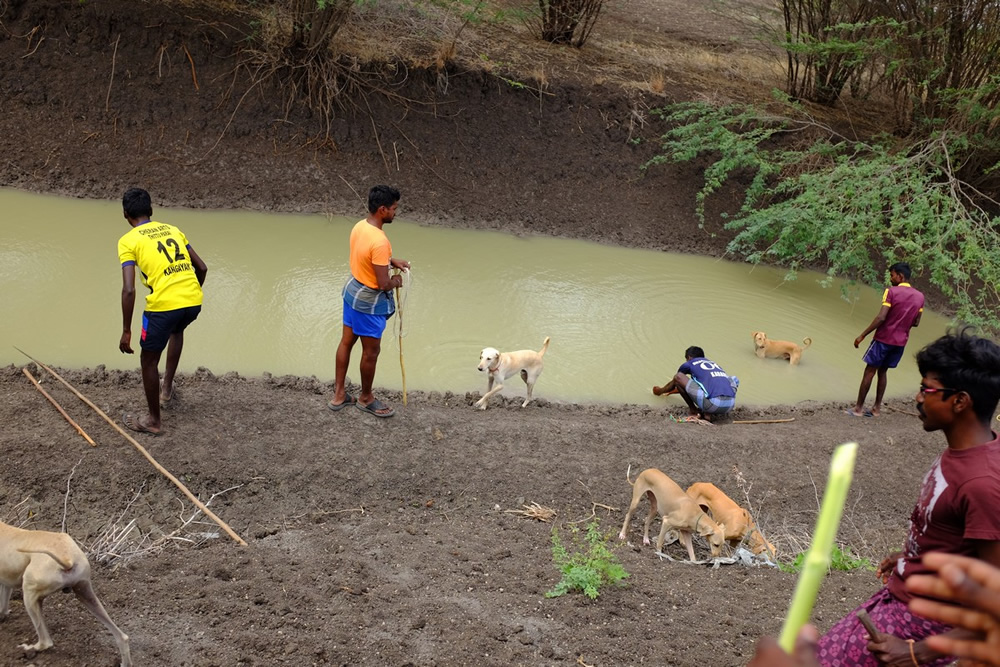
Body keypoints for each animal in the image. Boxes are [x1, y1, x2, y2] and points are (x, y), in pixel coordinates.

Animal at [0, 524, 131, 664]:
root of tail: (67, 559)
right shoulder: (6, 581)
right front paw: (2, 615)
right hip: (83, 588)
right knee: (122, 637)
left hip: (30, 589)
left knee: (46, 641)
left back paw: (32, 648)